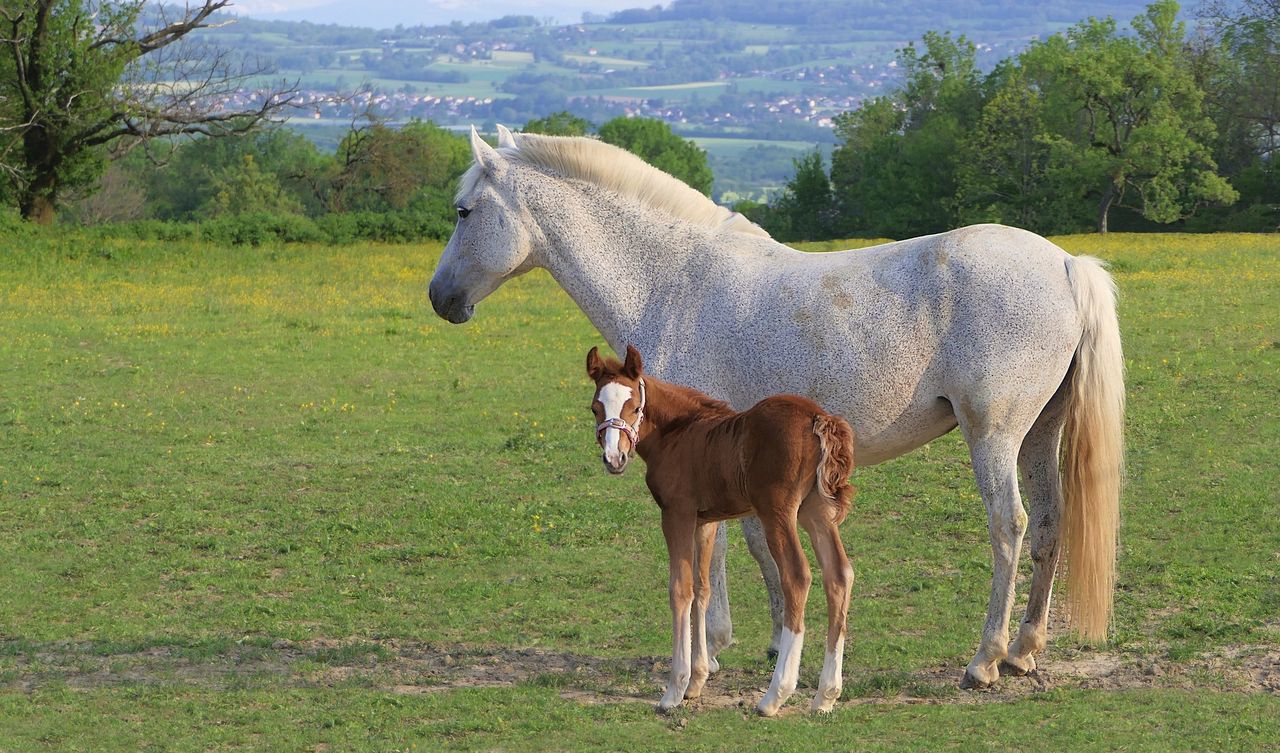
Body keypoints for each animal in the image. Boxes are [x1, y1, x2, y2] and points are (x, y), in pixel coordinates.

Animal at [587, 345, 856, 715]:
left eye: (635, 407)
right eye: (595, 408)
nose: (614, 459)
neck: (678, 434)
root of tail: (818, 417)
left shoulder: (676, 514)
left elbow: (680, 589)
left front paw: (674, 690)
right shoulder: (706, 521)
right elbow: (703, 588)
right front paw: (697, 681)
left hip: (778, 512)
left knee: (797, 576)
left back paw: (775, 695)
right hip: (817, 511)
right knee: (839, 575)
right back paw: (826, 696)